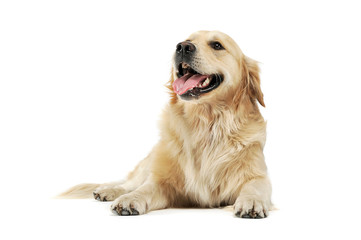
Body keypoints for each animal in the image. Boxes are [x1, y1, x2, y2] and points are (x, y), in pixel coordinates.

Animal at [60, 30, 272, 218]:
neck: (206, 124)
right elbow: (145, 188)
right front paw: (129, 199)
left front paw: (252, 201)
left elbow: (255, 186)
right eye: (188, 39)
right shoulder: (163, 181)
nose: (183, 47)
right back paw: (108, 190)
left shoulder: (257, 175)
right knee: (129, 183)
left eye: (217, 45)